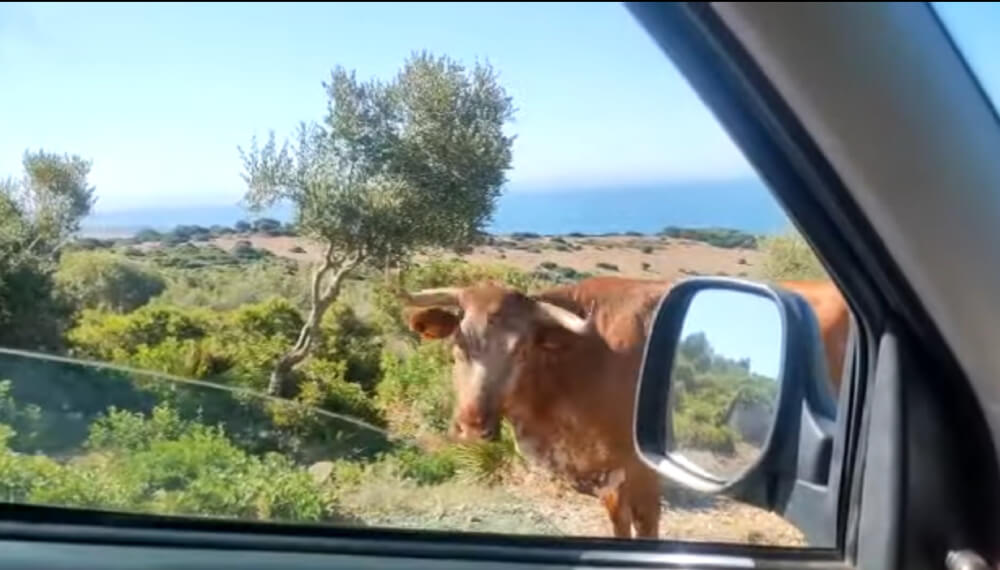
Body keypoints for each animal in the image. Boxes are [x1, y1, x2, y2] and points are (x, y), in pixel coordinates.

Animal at [404, 276, 852, 536]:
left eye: (520, 350)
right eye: (458, 344)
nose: (472, 426)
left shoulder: (646, 464)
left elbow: (646, 522)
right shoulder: (609, 470)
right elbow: (619, 522)